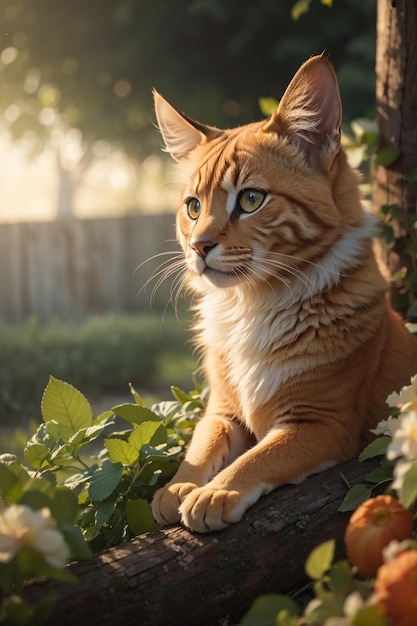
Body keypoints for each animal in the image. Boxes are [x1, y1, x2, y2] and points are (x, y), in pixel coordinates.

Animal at [150, 54, 416, 532]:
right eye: (193, 206)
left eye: (250, 199)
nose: (198, 246)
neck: (251, 304)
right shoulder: (222, 408)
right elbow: (201, 445)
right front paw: (178, 486)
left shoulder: (322, 421)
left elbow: (259, 458)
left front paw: (213, 493)